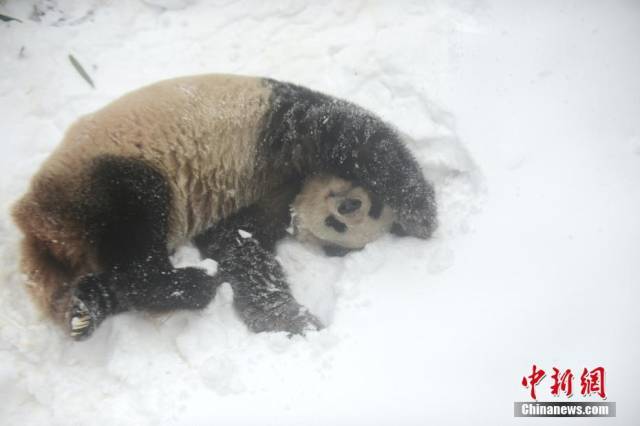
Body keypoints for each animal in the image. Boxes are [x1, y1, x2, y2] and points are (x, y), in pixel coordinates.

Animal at [11, 73, 440, 340]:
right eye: (373, 204)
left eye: (339, 229)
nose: (349, 206)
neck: (296, 190)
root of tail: (36, 225)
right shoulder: (280, 125)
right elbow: (356, 134)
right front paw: (422, 216)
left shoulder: (263, 207)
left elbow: (239, 249)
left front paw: (286, 318)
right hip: (107, 173)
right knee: (135, 227)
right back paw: (193, 284)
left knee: (112, 275)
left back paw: (88, 308)